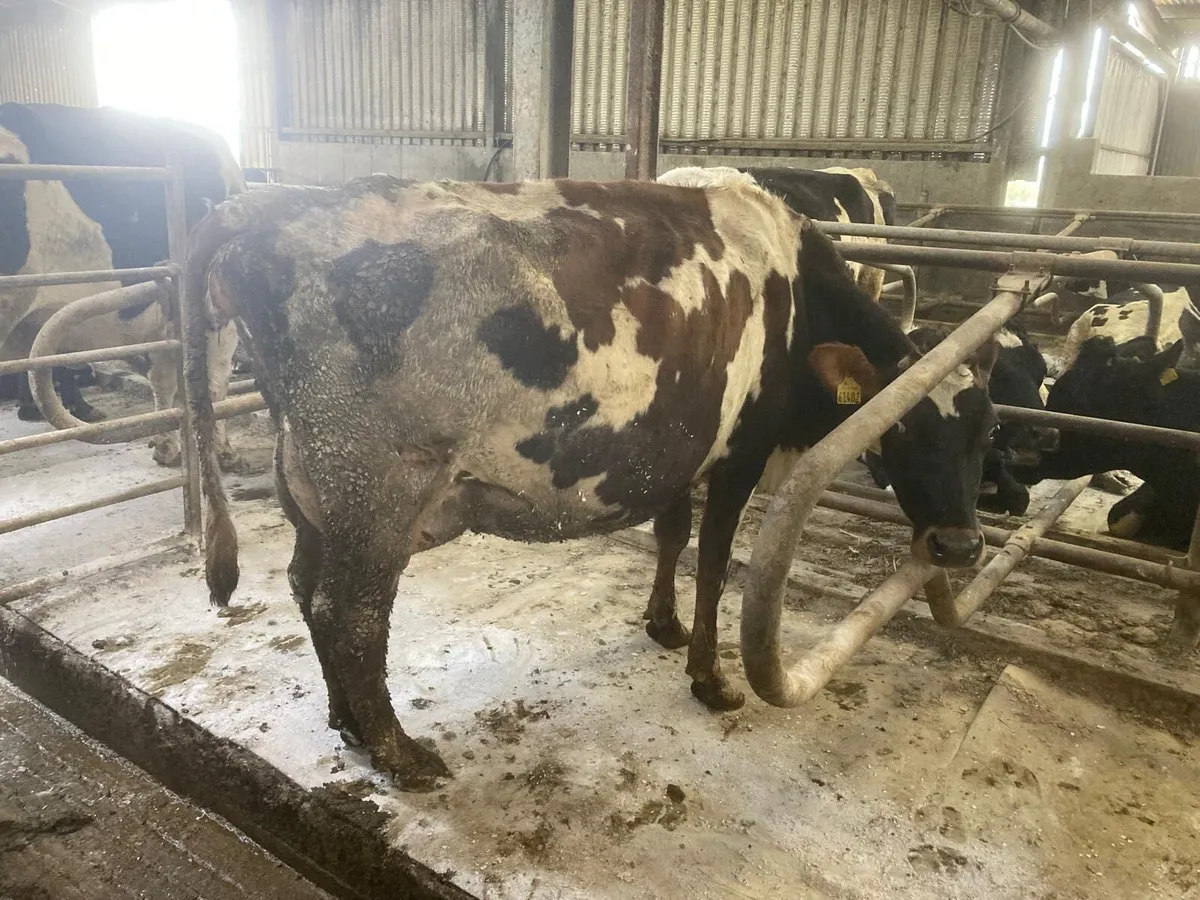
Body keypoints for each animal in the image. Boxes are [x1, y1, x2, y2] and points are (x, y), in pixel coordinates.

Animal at [182, 173, 998, 789]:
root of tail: (269, 205)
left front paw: (663, 626)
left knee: (303, 585)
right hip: (377, 488)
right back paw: (398, 753)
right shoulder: (738, 453)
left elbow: (672, 533)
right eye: (905, 429)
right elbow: (714, 563)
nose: (959, 548)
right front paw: (712, 679)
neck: (792, 296)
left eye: (988, 433)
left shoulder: (680, 446)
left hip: (312, 484)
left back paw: (346, 725)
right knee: (348, 615)